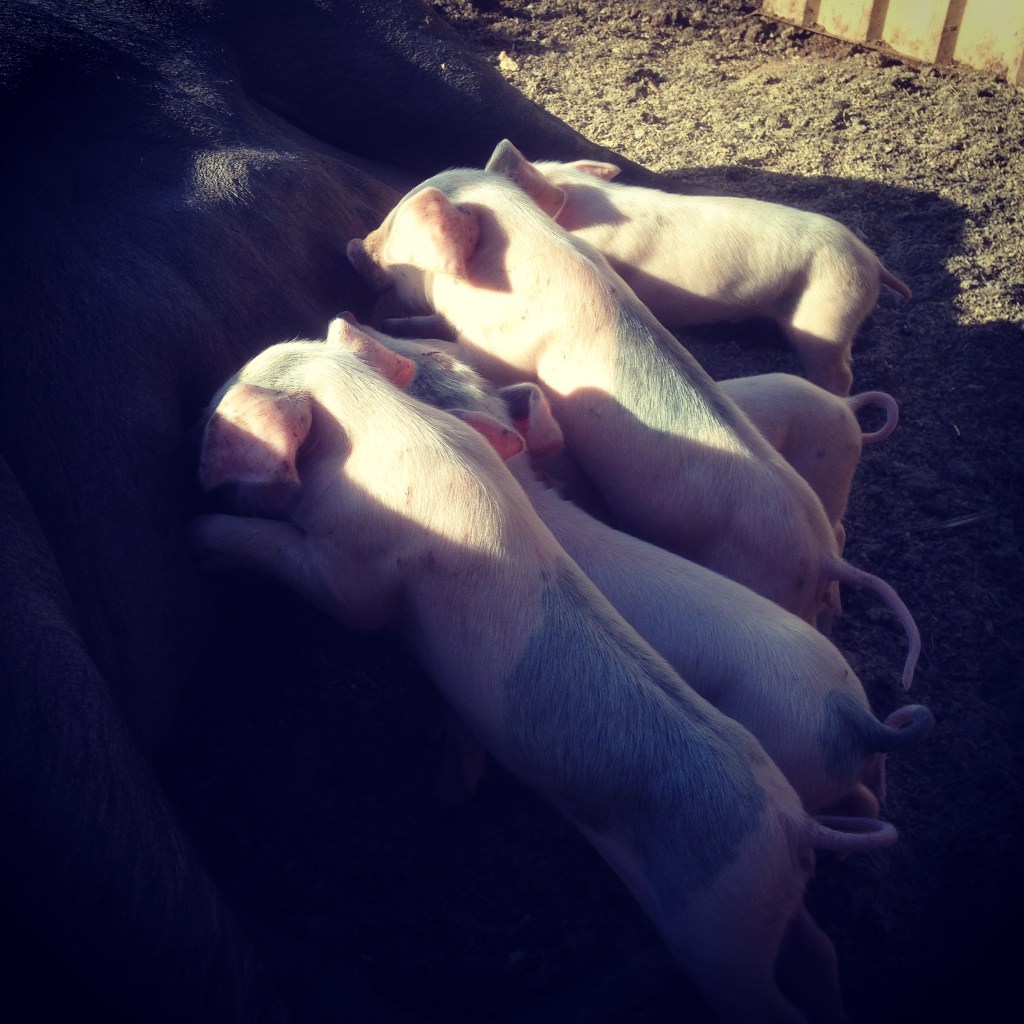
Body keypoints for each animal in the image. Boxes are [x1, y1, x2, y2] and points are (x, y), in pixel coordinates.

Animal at [337, 320, 933, 818]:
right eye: (436, 354)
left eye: (421, 367)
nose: (353, 319)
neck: (526, 492)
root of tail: (855, 717)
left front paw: (441, 798)